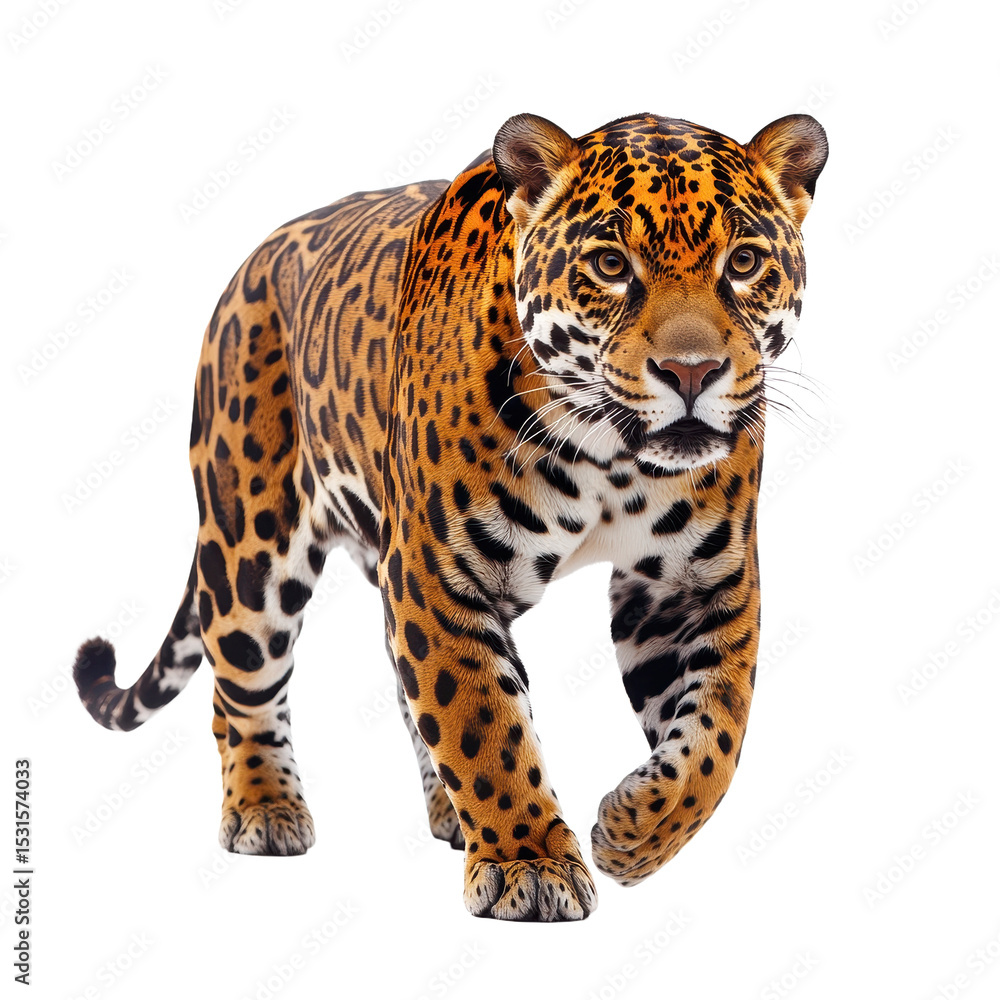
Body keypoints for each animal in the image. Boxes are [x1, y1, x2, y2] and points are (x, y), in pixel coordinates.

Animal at [74, 109, 828, 921]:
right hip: (250, 541)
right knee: (241, 684)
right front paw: (531, 863)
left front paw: (636, 832)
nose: (693, 373)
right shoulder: (436, 576)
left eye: (744, 262)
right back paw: (265, 807)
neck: (614, 459)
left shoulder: (696, 588)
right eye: (610, 265)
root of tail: (255, 260)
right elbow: (483, 723)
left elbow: (719, 734)